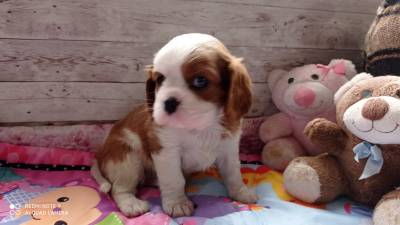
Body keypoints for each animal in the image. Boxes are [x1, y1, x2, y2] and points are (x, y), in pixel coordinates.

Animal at [91, 32, 260, 217]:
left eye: (200, 80)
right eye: (159, 79)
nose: (169, 102)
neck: (201, 126)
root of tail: (100, 157)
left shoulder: (229, 147)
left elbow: (233, 172)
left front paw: (241, 192)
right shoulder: (166, 151)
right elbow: (174, 179)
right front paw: (177, 203)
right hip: (127, 157)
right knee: (119, 188)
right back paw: (131, 204)